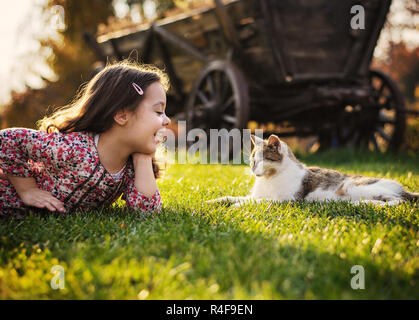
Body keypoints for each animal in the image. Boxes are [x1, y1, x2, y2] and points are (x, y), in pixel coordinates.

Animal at [208, 134, 418, 206]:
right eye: (252, 160)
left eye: (262, 160)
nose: (253, 169)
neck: (269, 178)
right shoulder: (255, 195)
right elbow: (232, 197)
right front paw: (215, 201)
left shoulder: (286, 200)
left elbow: (256, 202)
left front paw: (236, 206)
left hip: (353, 186)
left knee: (398, 201)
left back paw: (364, 204)